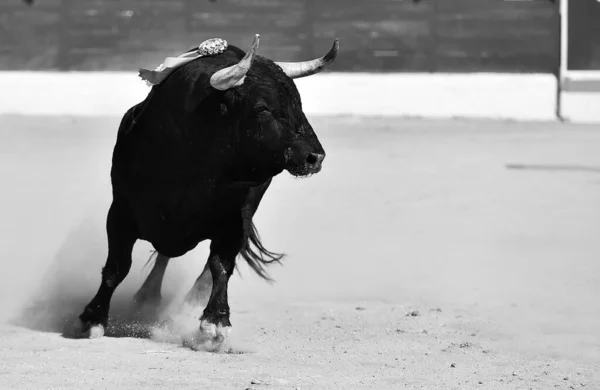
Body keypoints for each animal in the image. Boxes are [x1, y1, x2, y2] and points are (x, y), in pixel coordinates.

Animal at [71, 34, 338, 344]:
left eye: (298, 103)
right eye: (262, 108)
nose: (315, 157)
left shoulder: (235, 219)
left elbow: (221, 265)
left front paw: (216, 321)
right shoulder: (120, 212)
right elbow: (117, 266)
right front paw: (92, 319)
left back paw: (186, 303)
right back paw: (147, 297)